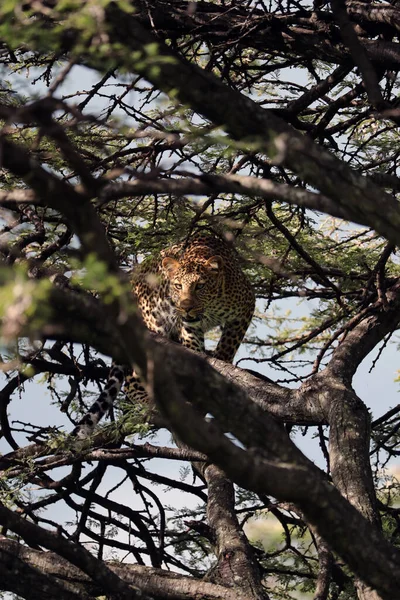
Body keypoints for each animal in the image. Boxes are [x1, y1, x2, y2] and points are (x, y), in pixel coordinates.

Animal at [73, 236, 255, 440]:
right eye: (177, 286)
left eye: (200, 286)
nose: (186, 307)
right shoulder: (189, 327)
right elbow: (193, 348)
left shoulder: (245, 308)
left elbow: (228, 344)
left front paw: (220, 361)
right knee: (131, 380)